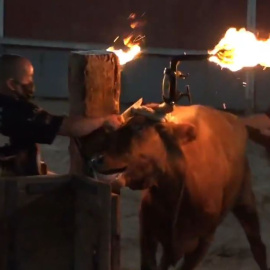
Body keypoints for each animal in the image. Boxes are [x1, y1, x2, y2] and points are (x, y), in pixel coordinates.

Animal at [88, 105, 268, 270]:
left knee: (258, 246)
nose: (96, 160)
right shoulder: (147, 232)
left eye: (139, 127)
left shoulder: (204, 240)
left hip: (245, 199)